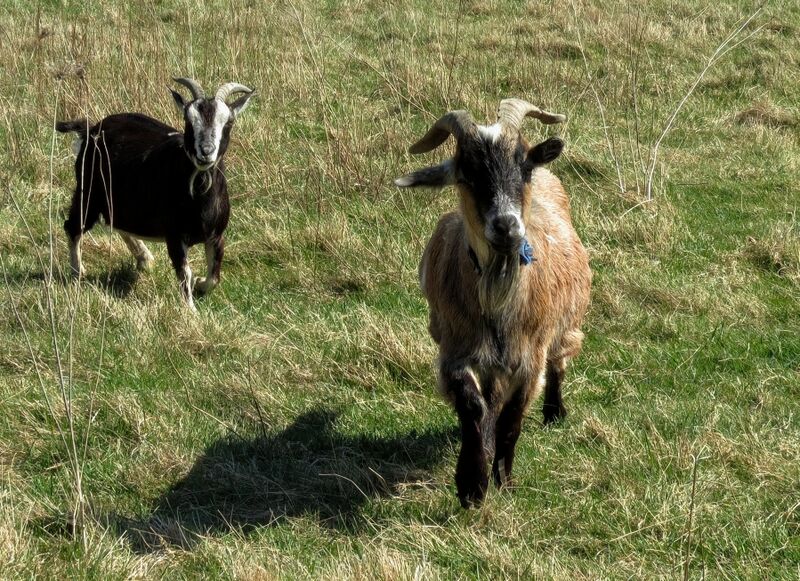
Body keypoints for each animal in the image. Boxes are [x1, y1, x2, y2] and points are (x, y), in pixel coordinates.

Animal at [56, 77, 255, 310]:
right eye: (188, 120)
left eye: (229, 122)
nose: (205, 152)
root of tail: (91, 130)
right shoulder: (175, 235)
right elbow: (184, 272)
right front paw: (191, 311)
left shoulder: (216, 234)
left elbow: (214, 276)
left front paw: (199, 285)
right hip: (89, 191)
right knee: (73, 226)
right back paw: (77, 272)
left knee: (115, 219)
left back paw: (145, 259)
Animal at [395, 99, 591, 507]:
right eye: (466, 173)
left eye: (524, 165)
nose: (506, 226)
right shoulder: (455, 350)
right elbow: (473, 406)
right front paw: (472, 482)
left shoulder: (530, 357)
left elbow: (512, 419)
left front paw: (505, 479)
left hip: (567, 322)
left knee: (560, 361)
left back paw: (555, 412)